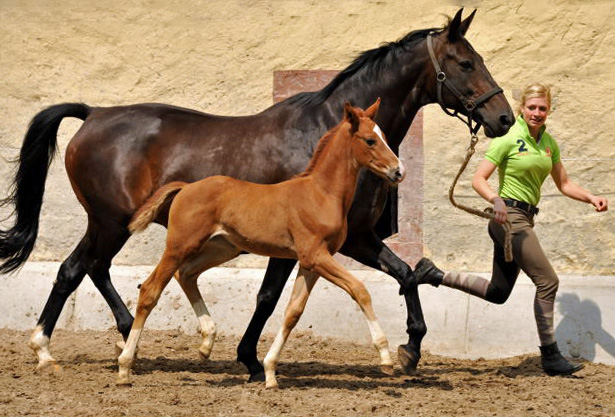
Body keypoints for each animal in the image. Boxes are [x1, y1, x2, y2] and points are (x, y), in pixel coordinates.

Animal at [118, 100, 406, 386]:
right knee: (150, 290)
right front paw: (385, 357)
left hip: (221, 248)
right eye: (370, 140)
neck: (320, 194)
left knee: (186, 274)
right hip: (180, 246)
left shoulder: (311, 262)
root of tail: (186, 187)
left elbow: (293, 311)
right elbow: (360, 289)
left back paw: (207, 342)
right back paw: (124, 366)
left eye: (384, 136)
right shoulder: (315, 255)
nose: (398, 171)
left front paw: (269, 371)